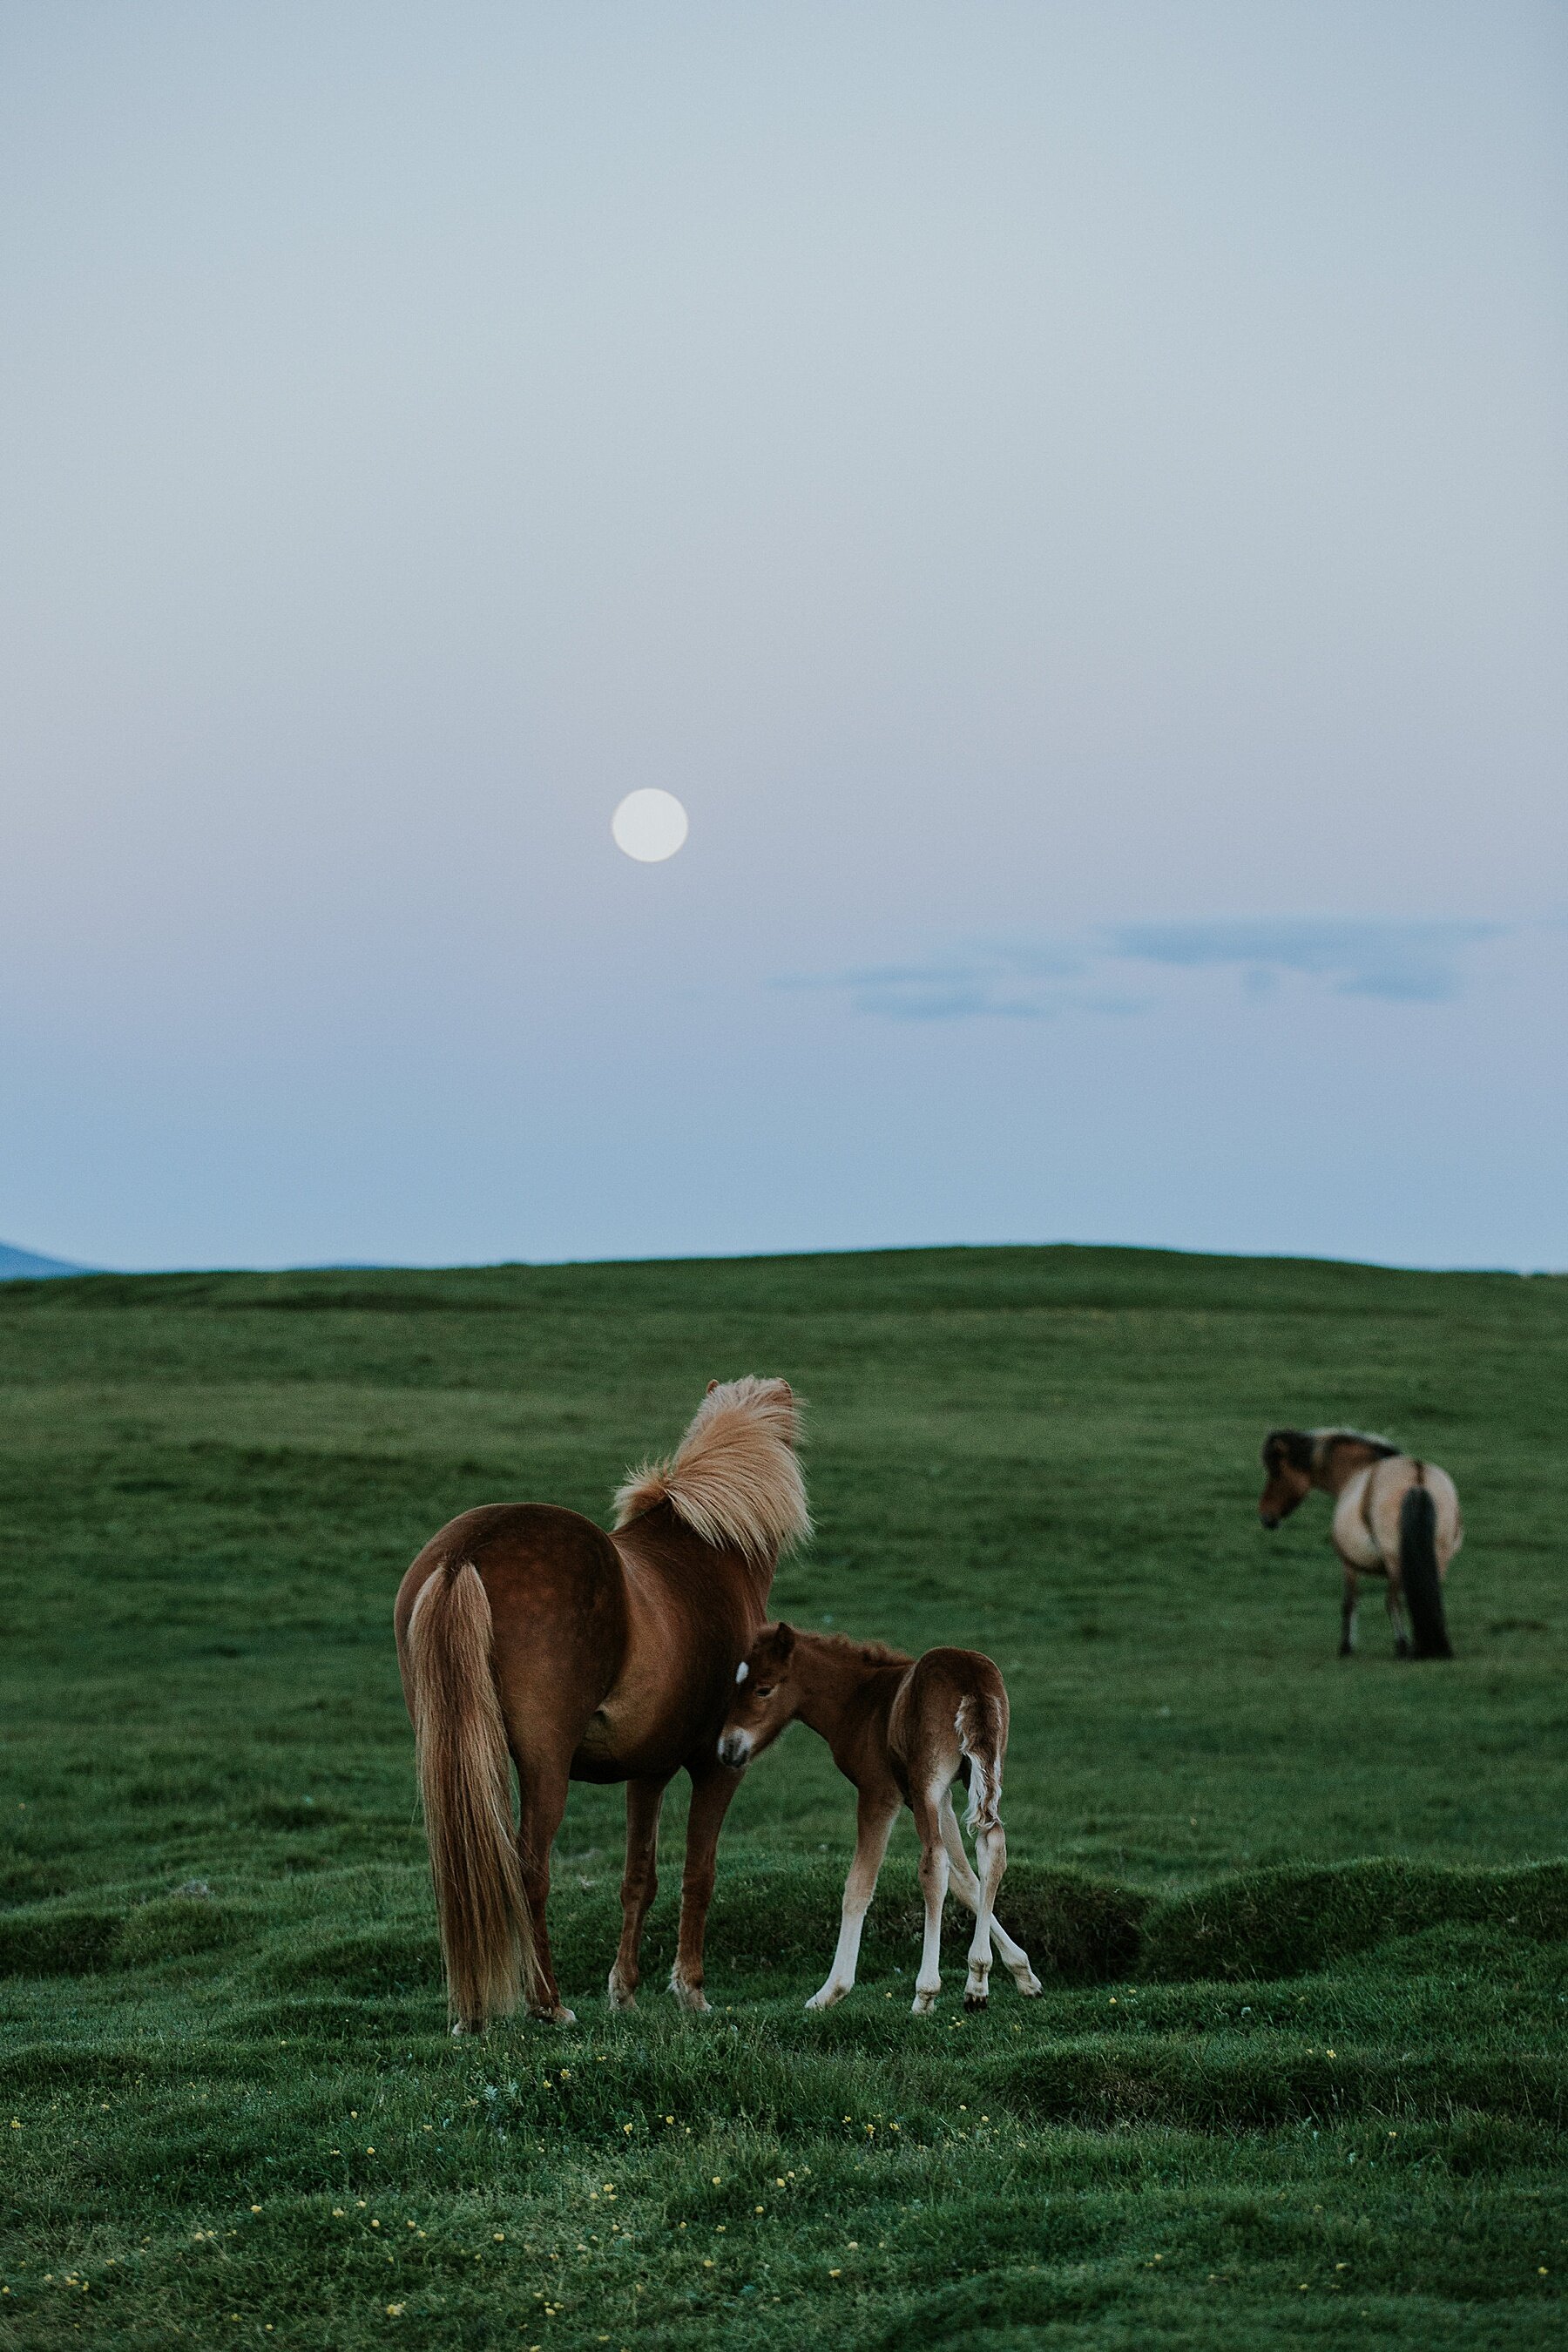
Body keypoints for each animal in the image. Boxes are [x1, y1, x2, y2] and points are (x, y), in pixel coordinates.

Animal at [392, 1373, 808, 2041]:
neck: (710, 1554)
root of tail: (467, 1553)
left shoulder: (649, 1771)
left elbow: (639, 1878)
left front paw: (626, 1992)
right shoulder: (718, 1766)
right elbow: (699, 1874)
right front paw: (690, 1990)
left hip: (456, 1751)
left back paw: (474, 2013)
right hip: (543, 1764)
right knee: (528, 1868)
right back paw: (548, 2003)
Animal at [714, 1618, 1044, 2023]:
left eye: (763, 1688)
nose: (728, 1749)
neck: (860, 1701)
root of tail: (970, 1677)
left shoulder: (880, 1793)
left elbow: (858, 1885)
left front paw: (830, 1991)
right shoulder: (942, 1797)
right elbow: (967, 1881)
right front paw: (1019, 1973)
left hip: (928, 1782)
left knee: (933, 1864)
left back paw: (925, 1993)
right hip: (979, 1773)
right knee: (991, 1846)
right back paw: (977, 1985)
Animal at [1260, 1420, 1466, 1665]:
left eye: (1276, 1472)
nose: (1266, 1517)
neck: (1356, 1471)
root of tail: (1417, 1477)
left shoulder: (1348, 1564)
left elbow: (1350, 1602)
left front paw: (1346, 1647)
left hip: (1395, 1562)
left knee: (1393, 1601)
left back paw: (1403, 1646)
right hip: (1438, 1560)